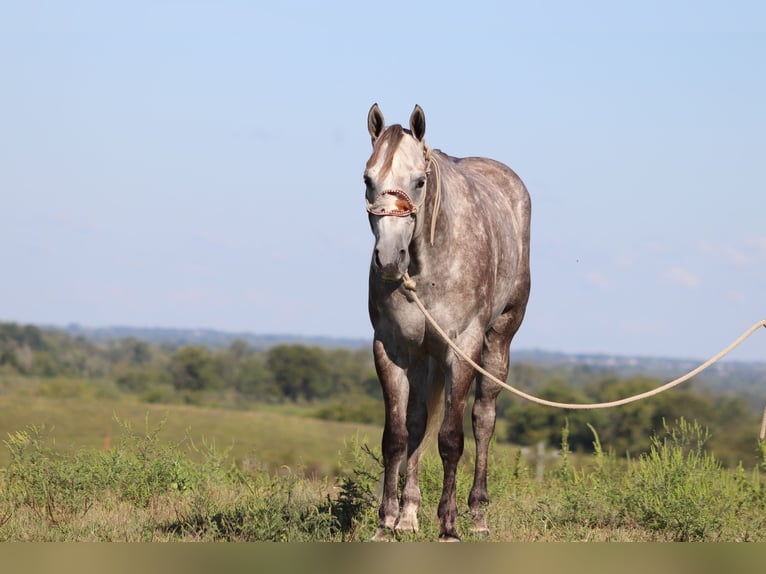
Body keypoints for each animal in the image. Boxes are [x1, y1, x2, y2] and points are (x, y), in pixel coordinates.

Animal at [363, 103, 531, 541]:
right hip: (425, 358)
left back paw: (477, 515)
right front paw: (386, 522)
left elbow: (451, 440)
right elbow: (397, 437)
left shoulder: (462, 350)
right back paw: (408, 515)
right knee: (419, 420)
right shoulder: (392, 349)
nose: (389, 258)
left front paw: (448, 526)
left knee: (483, 420)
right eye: (368, 179)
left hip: (496, 344)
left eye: (419, 181)